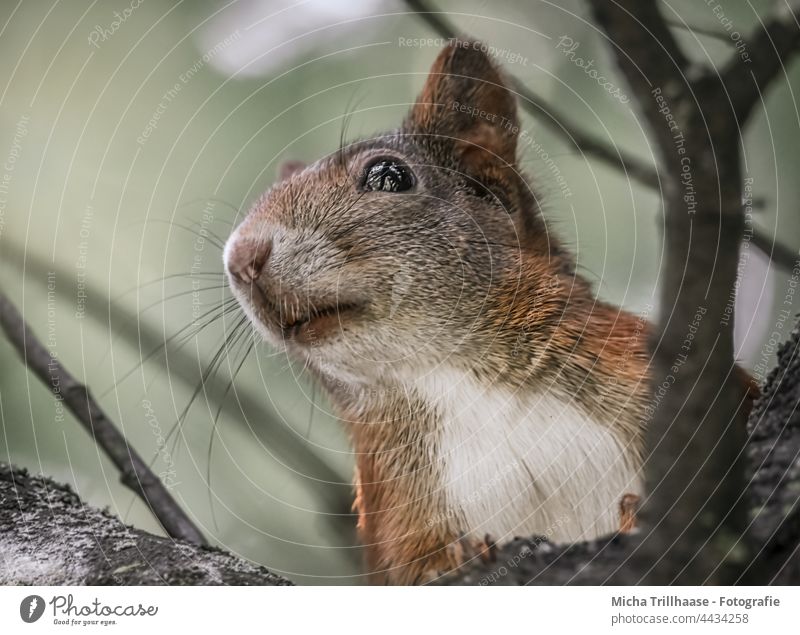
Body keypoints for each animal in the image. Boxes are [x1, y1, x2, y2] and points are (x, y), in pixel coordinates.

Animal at [223, 39, 756, 588]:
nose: (241, 258)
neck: (447, 373)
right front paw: (459, 555)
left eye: (389, 176)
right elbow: (415, 566)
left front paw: (633, 512)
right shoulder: (394, 511)